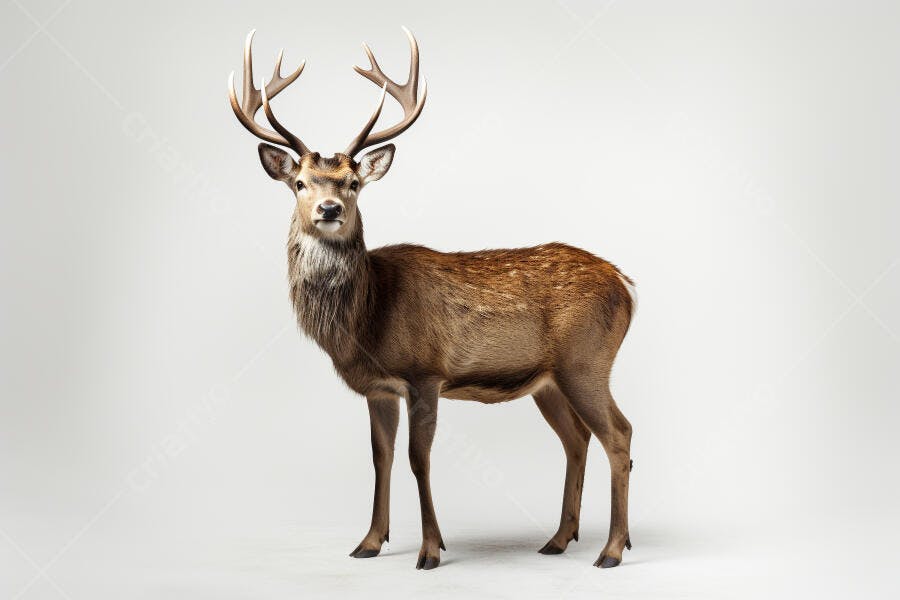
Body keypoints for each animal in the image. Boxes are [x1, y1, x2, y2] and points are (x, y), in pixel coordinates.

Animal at [228, 28, 637, 571]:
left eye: (353, 183)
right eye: (299, 183)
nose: (329, 209)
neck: (367, 319)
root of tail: (627, 285)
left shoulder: (425, 372)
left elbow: (417, 459)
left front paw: (429, 550)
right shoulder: (378, 388)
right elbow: (379, 458)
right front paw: (368, 543)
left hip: (586, 360)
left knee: (619, 434)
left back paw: (611, 549)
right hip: (548, 380)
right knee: (578, 439)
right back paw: (558, 538)